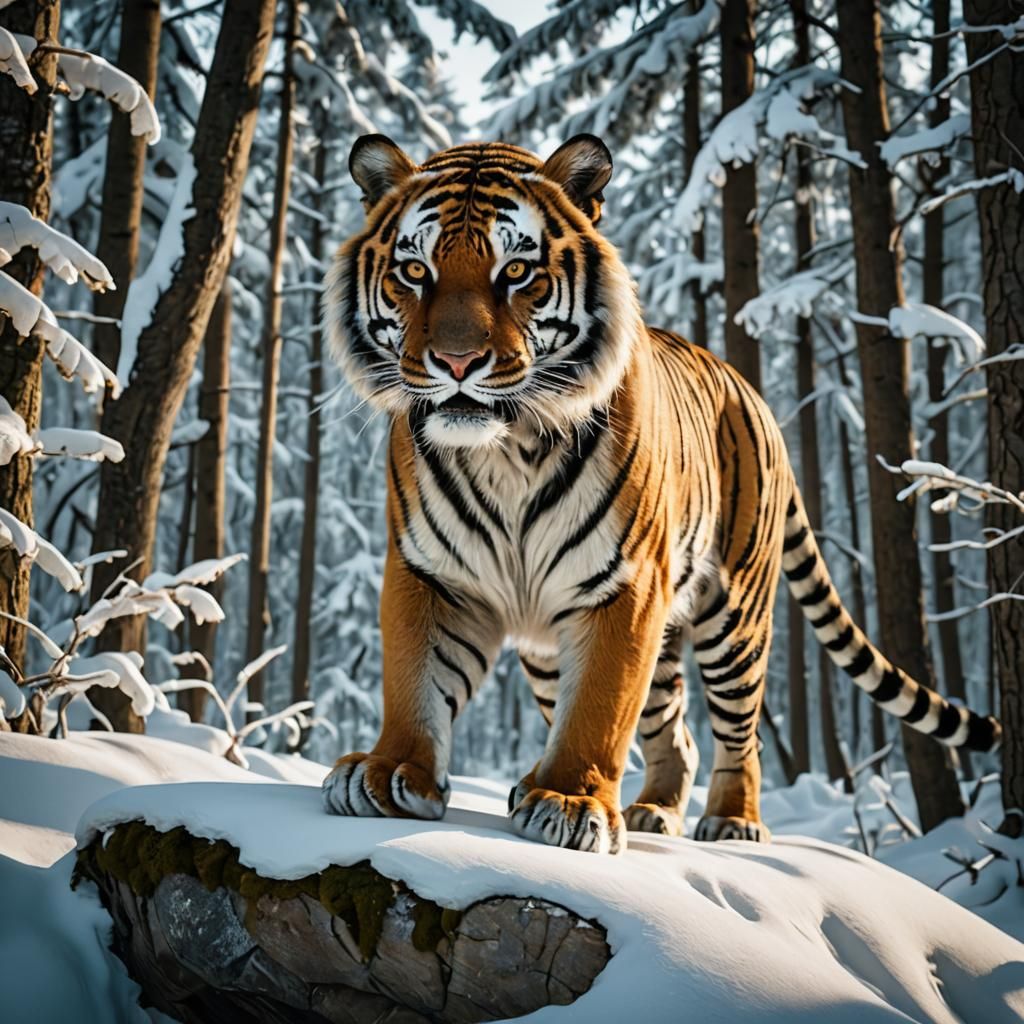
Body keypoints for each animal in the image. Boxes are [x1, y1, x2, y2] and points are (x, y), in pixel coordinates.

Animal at [320, 133, 1000, 854]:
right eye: (414, 271)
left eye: (517, 272)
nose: (455, 363)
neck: (507, 450)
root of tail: (752, 391)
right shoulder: (431, 573)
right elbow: (415, 679)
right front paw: (390, 773)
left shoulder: (626, 585)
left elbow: (599, 705)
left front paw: (570, 801)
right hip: (555, 647)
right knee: (674, 732)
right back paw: (643, 809)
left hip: (734, 617)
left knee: (738, 735)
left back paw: (730, 822)